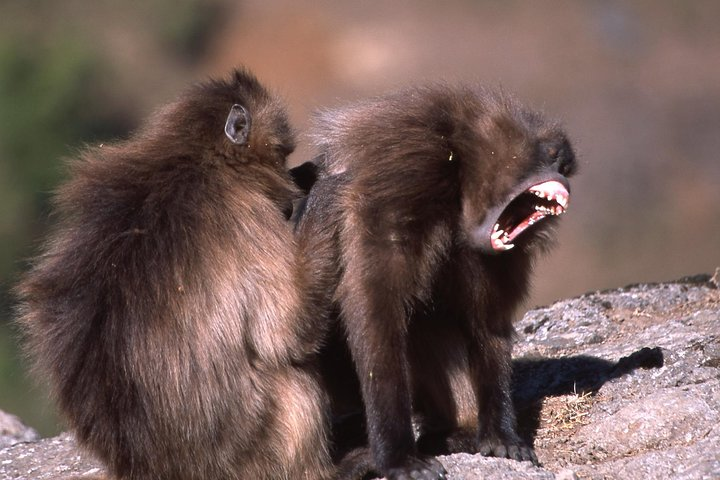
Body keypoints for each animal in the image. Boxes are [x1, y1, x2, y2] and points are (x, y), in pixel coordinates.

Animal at [15, 68, 368, 480]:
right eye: (282, 153)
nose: (291, 186)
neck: (196, 158)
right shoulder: (246, 216)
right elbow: (285, 335)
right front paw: (324, 191)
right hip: (255, 444)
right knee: (290, 374)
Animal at [295, 84, 578, 479]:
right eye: (550, 157)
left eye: (564, 165)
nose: (564, 175)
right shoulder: (408, 168)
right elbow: (375, 306)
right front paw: (398, 458)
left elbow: (487, 321)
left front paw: (501, 435)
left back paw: (454, 433)